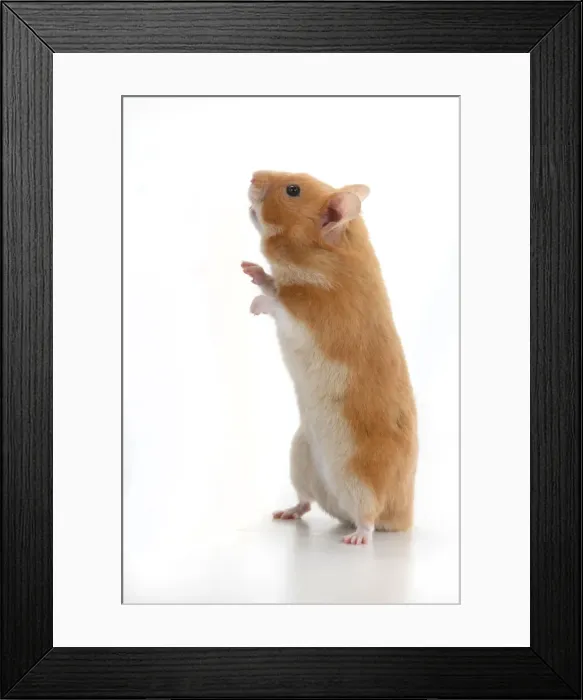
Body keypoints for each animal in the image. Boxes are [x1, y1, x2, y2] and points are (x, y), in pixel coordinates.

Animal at [242, 170, 417, 545]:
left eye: (293, 190)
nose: (252, 175)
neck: (330, 259)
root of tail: (404, 519)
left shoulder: (313, 318)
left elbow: (279, 305)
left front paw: (253, 306)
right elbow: (271, 285)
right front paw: (250, 269)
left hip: (362, 481)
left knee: (369, 516)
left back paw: (356, 538)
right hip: (300, 456)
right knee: (307, 502)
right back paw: (285, 513)